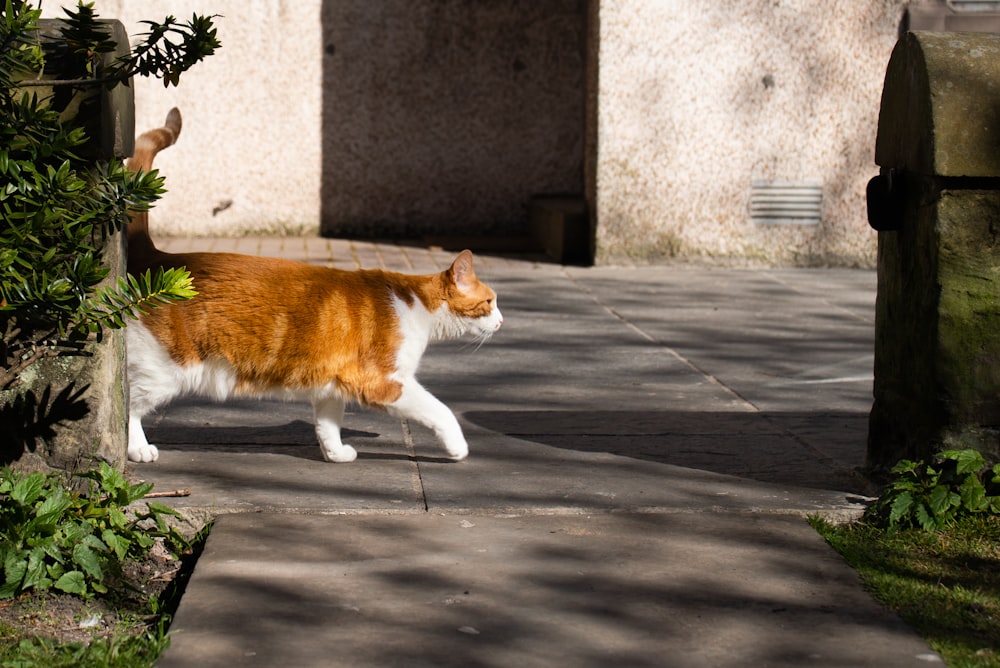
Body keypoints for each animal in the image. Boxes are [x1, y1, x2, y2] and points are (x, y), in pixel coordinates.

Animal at [125, 109, 500, 464]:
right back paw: (138, 450)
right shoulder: (384, 382)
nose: (501, 321)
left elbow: (327, 424)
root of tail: (156, 256)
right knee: (128, 404)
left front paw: (336, 454)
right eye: (490, 302)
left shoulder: (333, 384)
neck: (416, 306)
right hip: (165, 368)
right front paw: (458, 447)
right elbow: (441, 410)